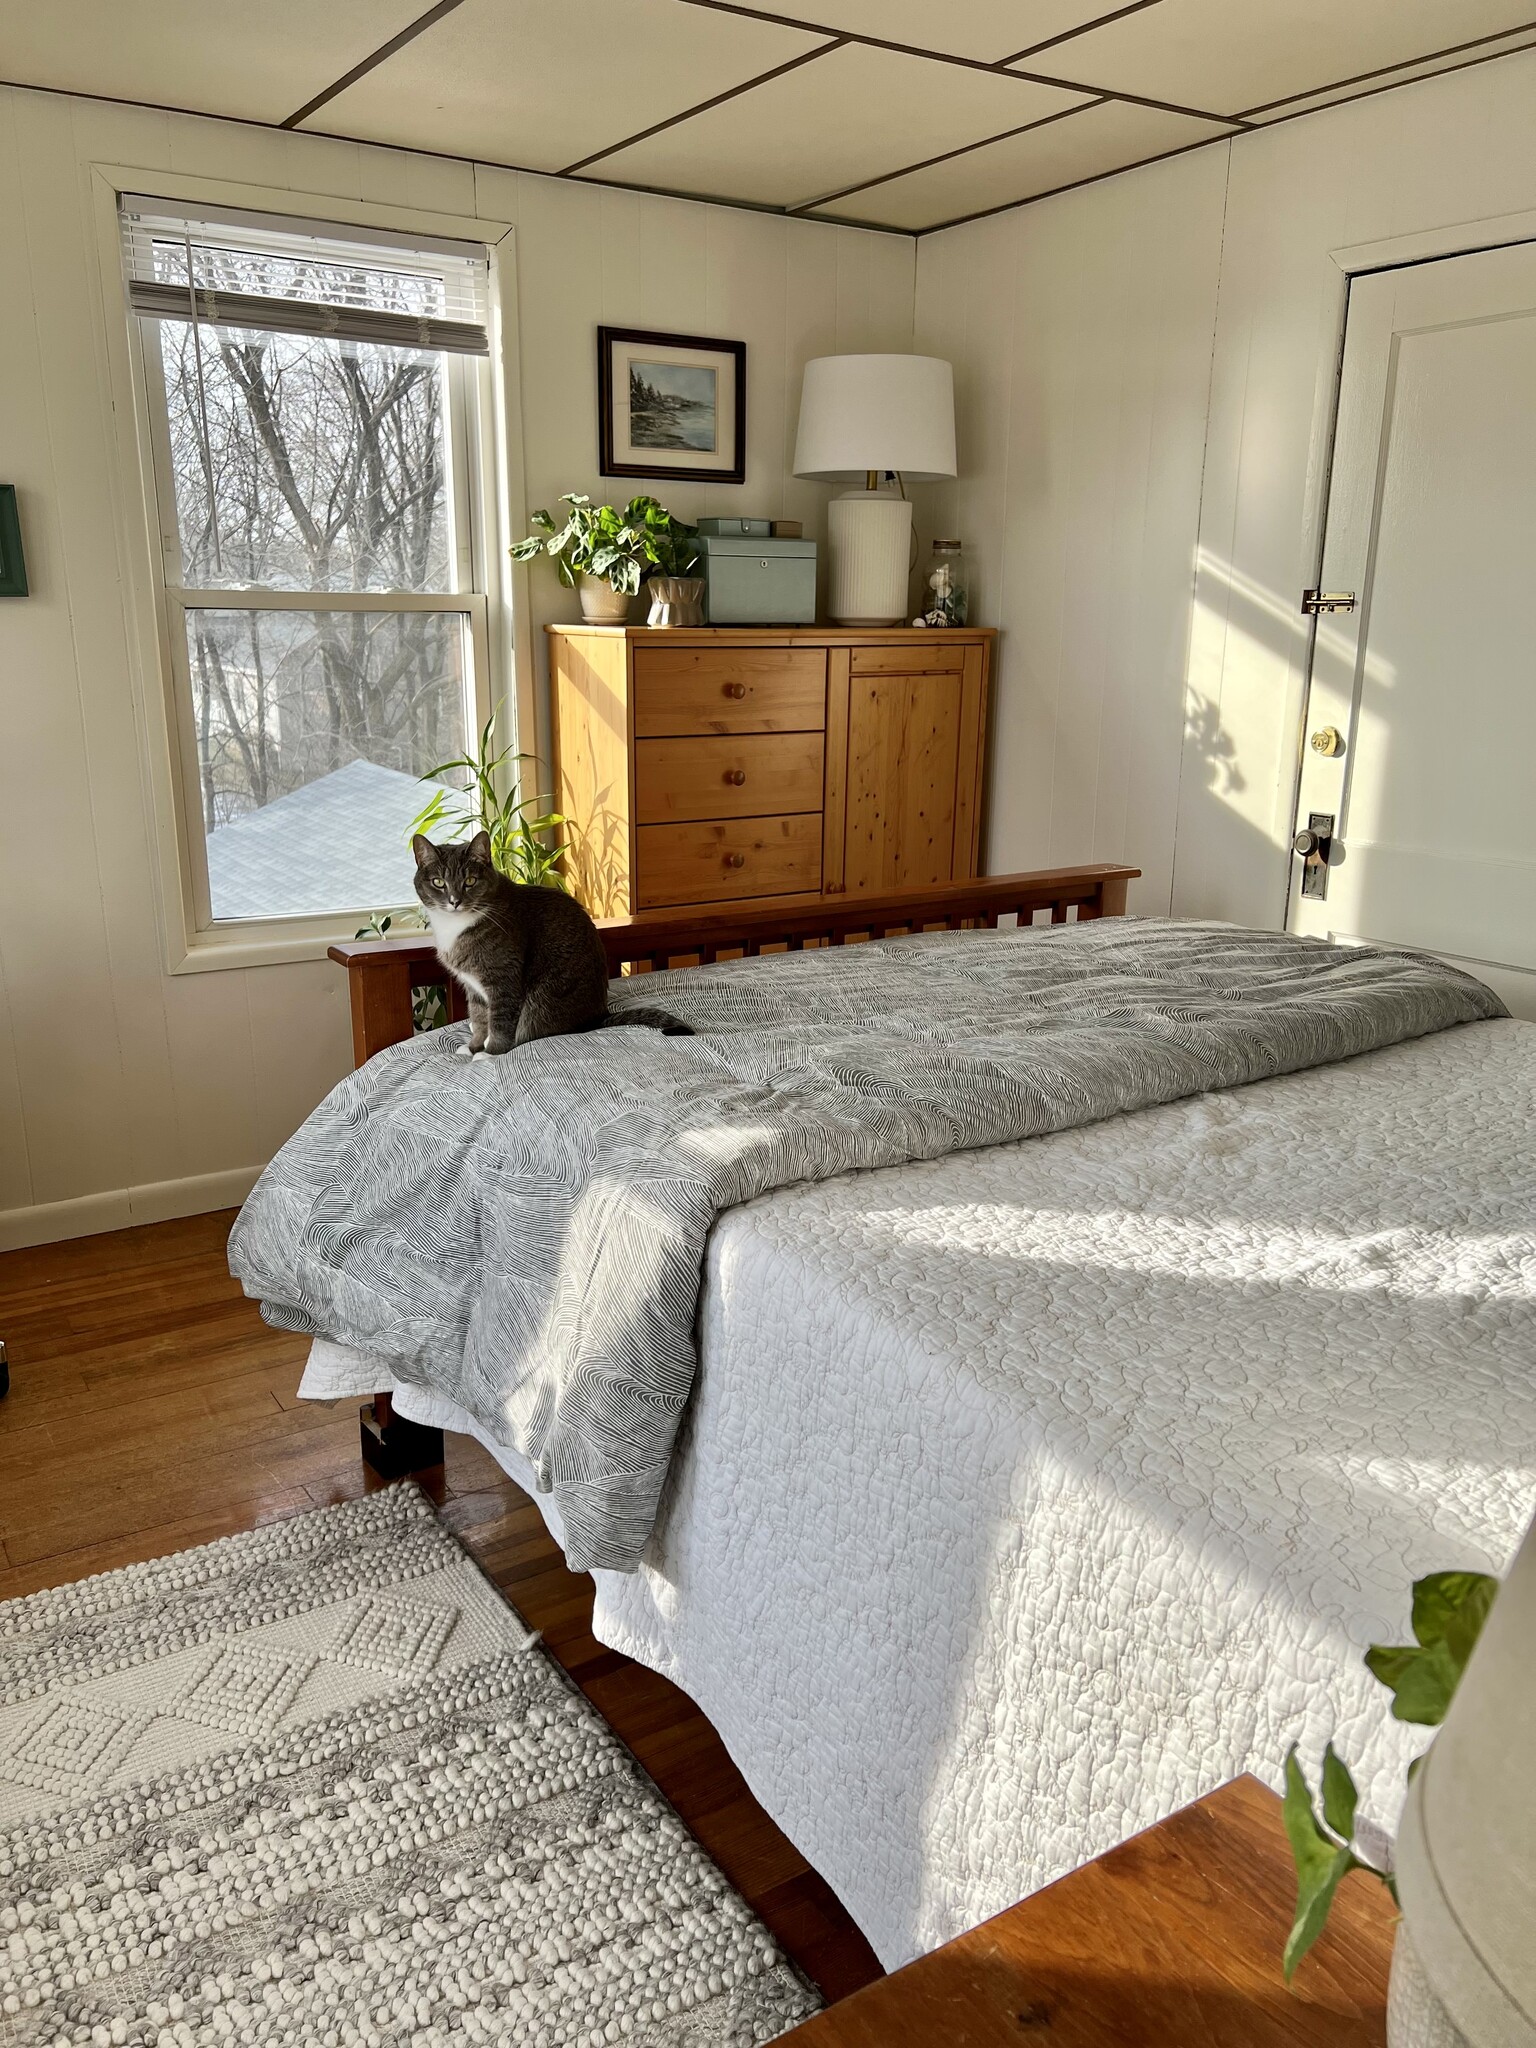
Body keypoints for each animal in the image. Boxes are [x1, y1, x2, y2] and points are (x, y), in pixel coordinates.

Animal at [415, 831, 692, 1056]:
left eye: (470, 881)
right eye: (438, 882)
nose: (454, 901)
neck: (457, 925)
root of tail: (595, 1018)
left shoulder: (503, 979)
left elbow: (500, 1023)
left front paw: (489, 1054)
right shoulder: (474, 986)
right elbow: (480, 1018)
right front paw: (473, 1047)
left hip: (541, 1002)